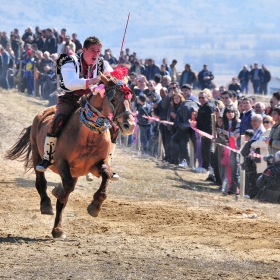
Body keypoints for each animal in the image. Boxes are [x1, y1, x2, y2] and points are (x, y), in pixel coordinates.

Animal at [5, 72, 135, 238]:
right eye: (112, 99)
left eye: (129, 100)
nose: (129, 125)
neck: (88, 135)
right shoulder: (61, 163)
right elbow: (65, 191)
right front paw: (57, 226)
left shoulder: (96, 165)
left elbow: (106, 174)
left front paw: (95, 205)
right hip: (36, 153)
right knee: (41, 181)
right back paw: (47, 205)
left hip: (75, 172)